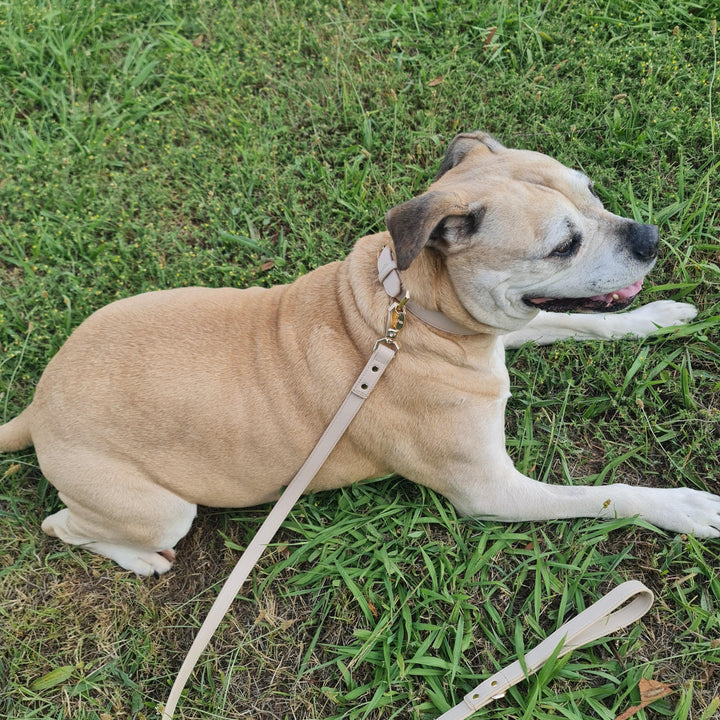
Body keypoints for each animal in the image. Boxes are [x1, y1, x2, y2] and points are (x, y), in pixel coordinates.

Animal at [2, 132, 716, 576]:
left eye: (591, 191)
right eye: (563, 245)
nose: (651, 238)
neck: (412, 314)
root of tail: (38, 405)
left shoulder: (496, 330)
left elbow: (578, 323)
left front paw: (654, 318)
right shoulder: (491, 492)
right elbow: (609, 496)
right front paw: (684, 507)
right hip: (161, 512)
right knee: (63, 526)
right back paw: (140, 559)